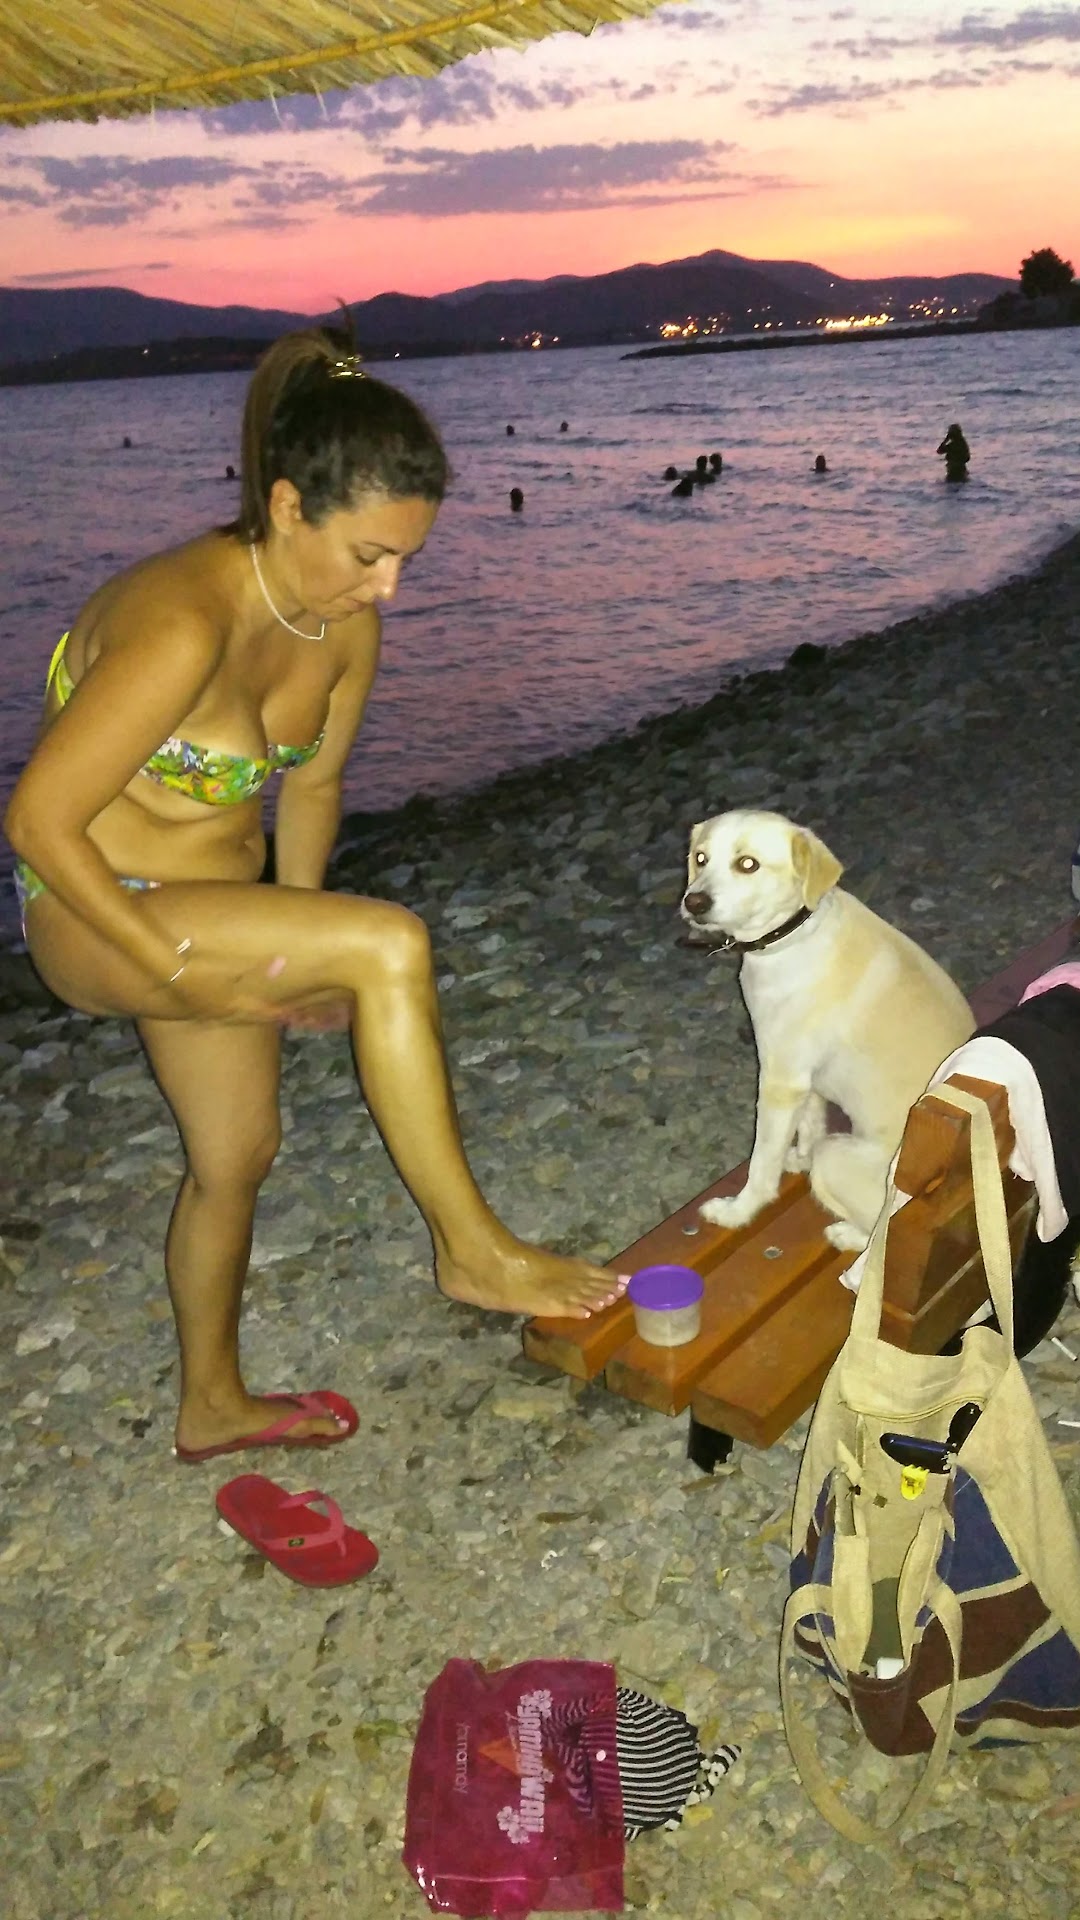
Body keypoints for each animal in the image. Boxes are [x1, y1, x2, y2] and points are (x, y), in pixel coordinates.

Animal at [680, 810, 974, 1251]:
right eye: (700, 858)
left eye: (747, 863)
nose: (693, 902)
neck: (789, 936)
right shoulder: (805, 1082)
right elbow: (811, 1124)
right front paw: (798, 1158)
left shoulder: (780, 1081)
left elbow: (762, 1165)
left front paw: (738, 1212)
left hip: (837, 1160)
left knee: (878, 1237)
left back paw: (846, 1234)